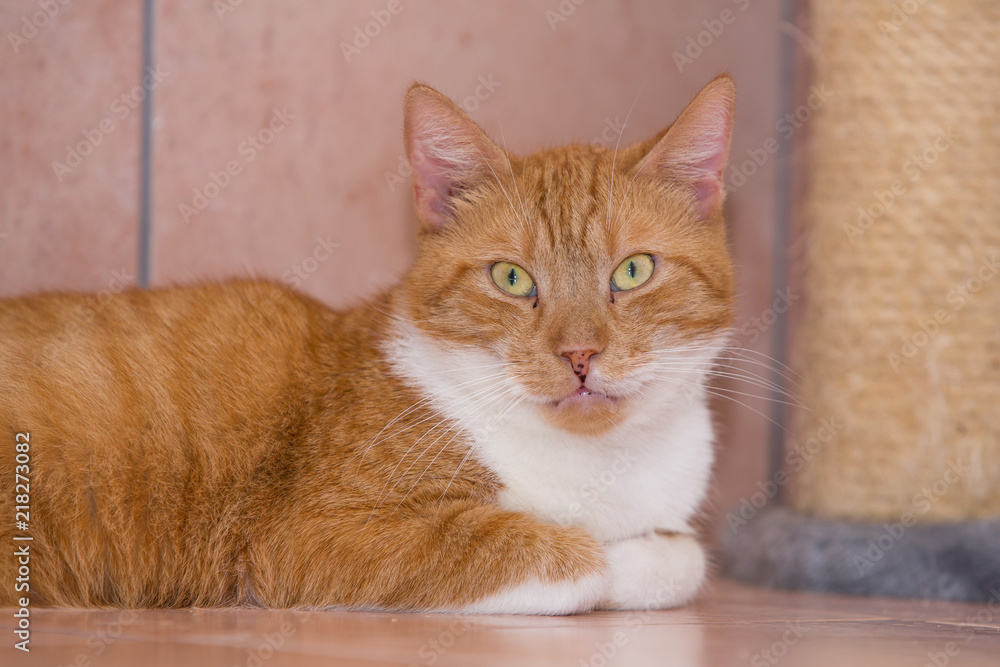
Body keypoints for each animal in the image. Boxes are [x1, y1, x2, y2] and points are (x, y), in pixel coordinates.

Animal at [0, 74, 736, 616]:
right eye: (512, 278)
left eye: (633, 271)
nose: (580, 355)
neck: (599, 463)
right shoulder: (312, 533)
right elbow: (576, 553)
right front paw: (605, 549)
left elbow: (683, 556)